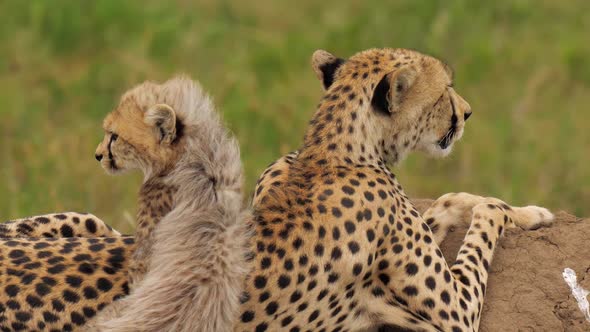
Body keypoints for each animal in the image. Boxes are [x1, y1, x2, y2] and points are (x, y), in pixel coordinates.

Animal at [0, 48, 556, 330]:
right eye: (445, 91)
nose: (468, 112)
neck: (331, 148)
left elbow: (444, 204)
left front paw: (497, 205)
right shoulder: (455, 312)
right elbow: (482, 226)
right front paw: (522, 211)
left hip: (84, 223)